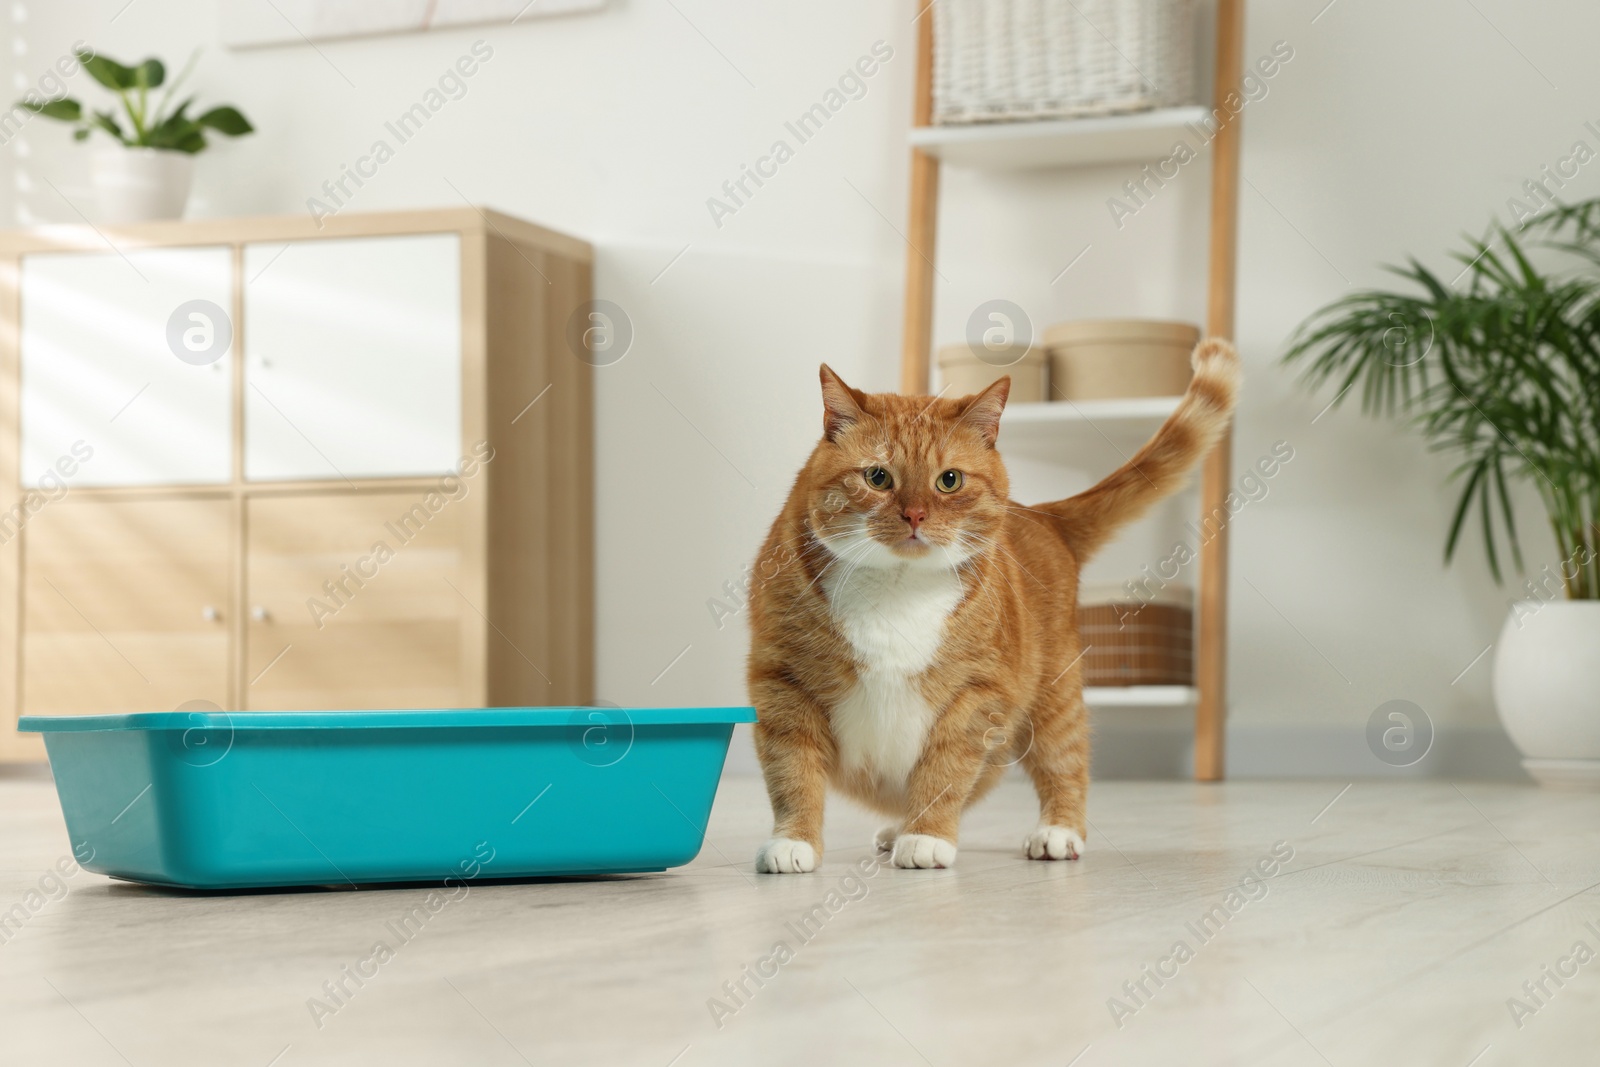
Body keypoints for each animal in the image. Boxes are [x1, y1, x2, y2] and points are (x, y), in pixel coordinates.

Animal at [745, 337, 1235, 870]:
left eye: (949, 480)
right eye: (877, 477)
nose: (915, 514)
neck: (896, 586)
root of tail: (1043, 516)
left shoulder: (976, 693)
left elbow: (945, 771)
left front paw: (928, 837)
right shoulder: (782, 682)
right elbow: (793, 773)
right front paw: (794, 841)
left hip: (1053, 696)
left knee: (1064, 758)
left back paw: (1058, 830)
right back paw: (898, 828)